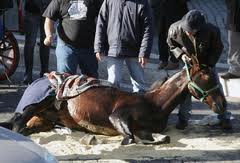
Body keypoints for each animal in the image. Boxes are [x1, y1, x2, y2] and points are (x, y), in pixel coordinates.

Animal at [0, 59, 229, 145]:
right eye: (207, 77)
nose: (222, 105)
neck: (155, 104)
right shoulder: (117, 117)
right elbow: (131, 138)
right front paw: (92, 138)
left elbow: (161, 138)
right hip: (37, 103)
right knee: (18, 126)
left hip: (43, 120)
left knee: (23, 128)